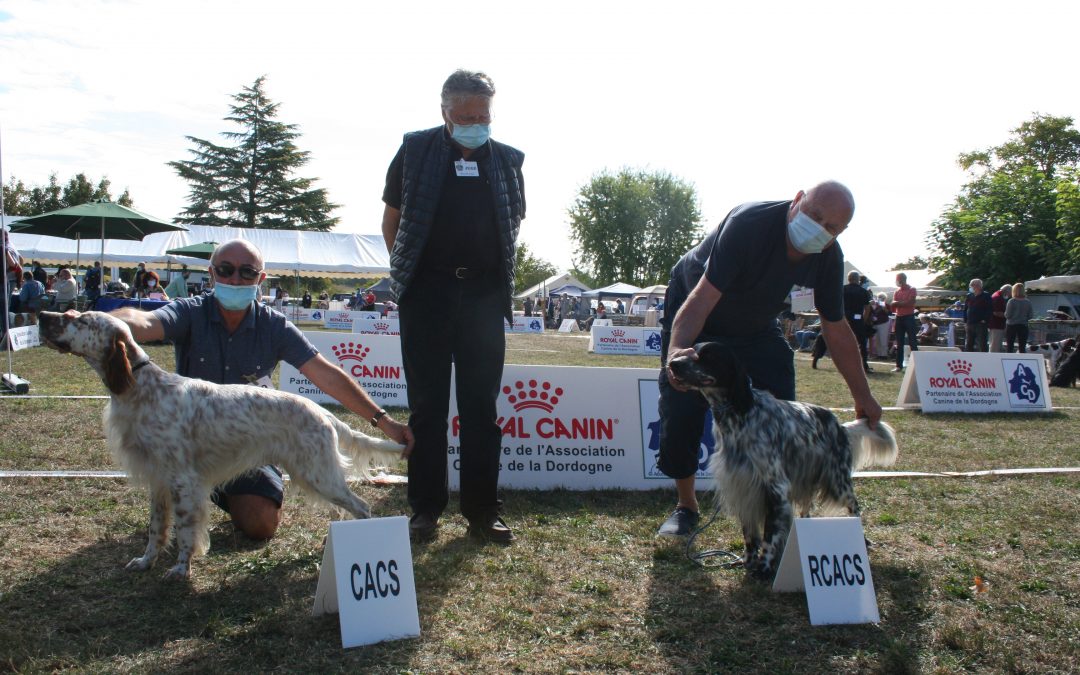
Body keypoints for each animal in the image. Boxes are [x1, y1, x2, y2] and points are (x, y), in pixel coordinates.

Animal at [669, 341, 898, 578]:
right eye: (691, 350)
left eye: (707, 356)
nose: (673, 363)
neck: (741, 414)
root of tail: (840, 426)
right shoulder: (742, 485)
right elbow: (749, 535)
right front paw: (748, 562)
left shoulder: (775, 490)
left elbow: (769, 537)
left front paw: (763, 567)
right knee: (807, 509)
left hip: (838, 482)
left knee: (855, 508)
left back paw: (862, 540)